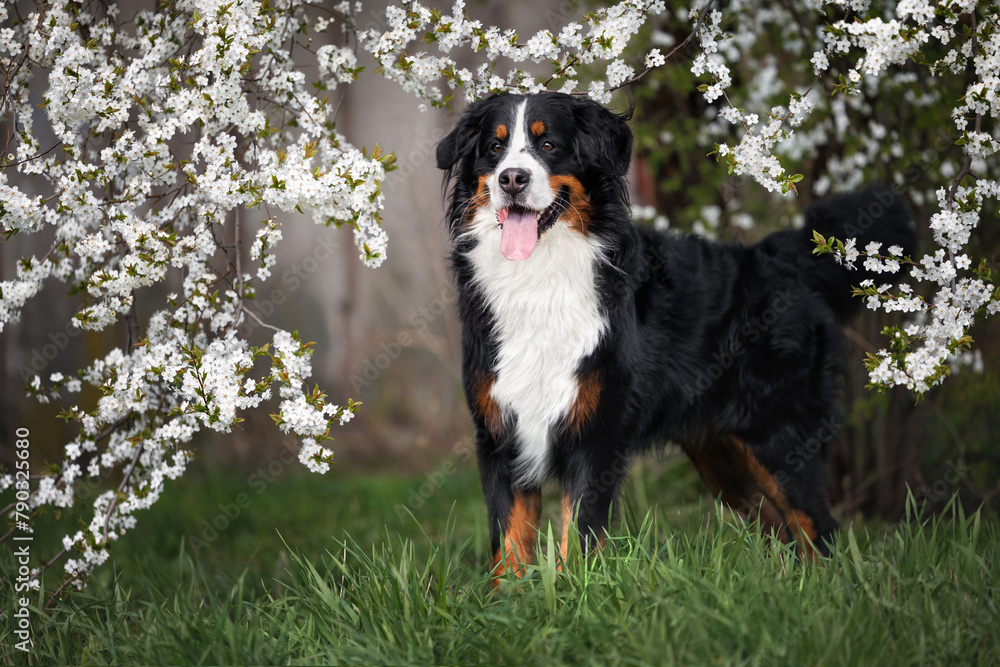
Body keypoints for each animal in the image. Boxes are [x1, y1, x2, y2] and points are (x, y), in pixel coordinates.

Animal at [434, 91, 916, 588]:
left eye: (548, 144)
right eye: (495, 148)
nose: (512, 178)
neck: (538, 278)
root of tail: (782, 255)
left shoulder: (595, 437)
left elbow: (577, 538)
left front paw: (570, 596)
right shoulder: (500, 435)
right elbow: (508, 545)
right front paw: (509, 603)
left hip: (779, 439)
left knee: (816, 527)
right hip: (726, 460)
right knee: (783, 529)